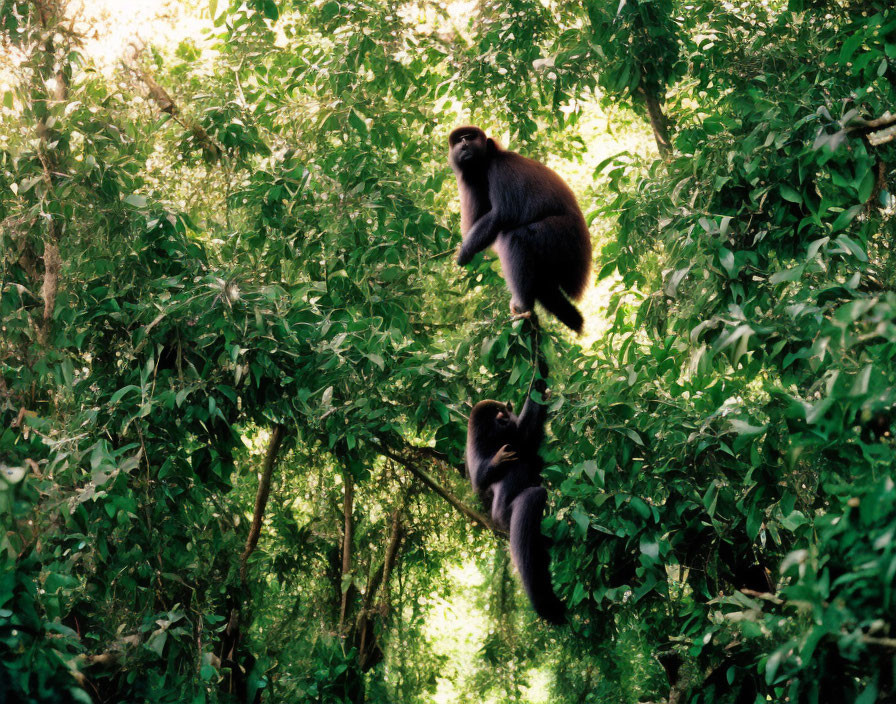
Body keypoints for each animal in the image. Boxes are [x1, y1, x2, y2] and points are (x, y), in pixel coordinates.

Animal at [448, 124, 596, 332]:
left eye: (469, 137)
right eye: (459, 139)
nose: (464, 144)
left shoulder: (501, 168)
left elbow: (502, 214)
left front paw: (464, 252)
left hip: (564, 239)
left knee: (514, 237)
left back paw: (523, 303)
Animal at [466, 364, 564, 620]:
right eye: (499, 412)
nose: (507, 410)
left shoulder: (517, 437)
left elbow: (528, 430)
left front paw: (539, 378)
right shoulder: (478, 445)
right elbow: (479, 480)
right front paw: (499, 459)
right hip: (505, 516)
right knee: (532, 499)